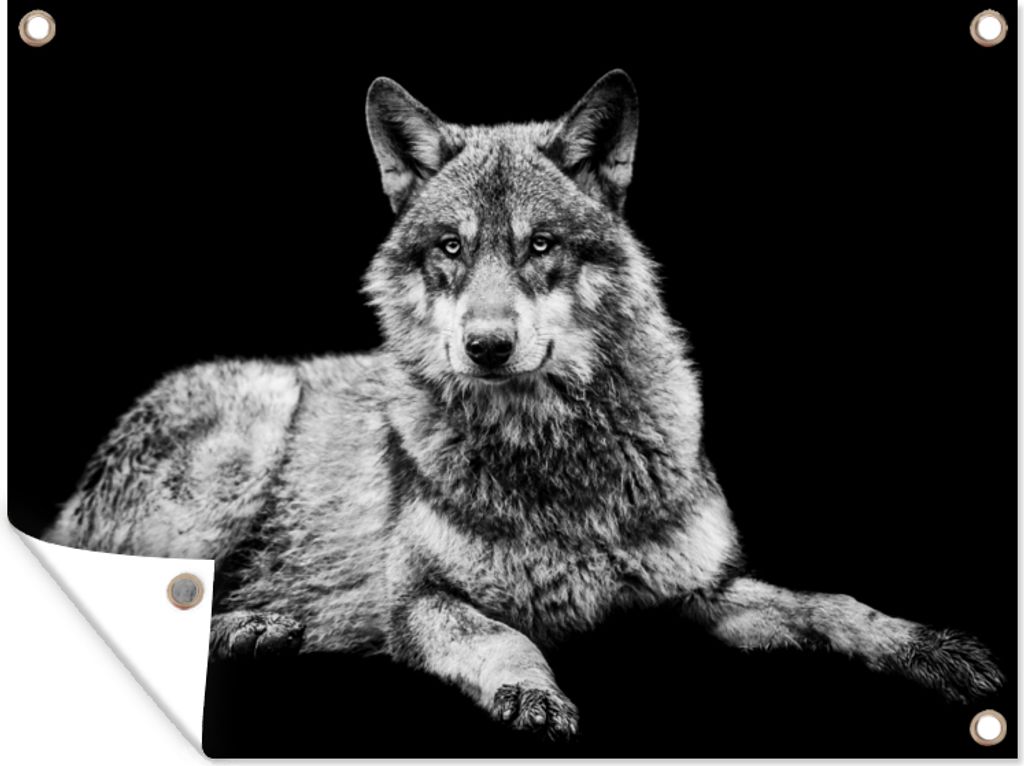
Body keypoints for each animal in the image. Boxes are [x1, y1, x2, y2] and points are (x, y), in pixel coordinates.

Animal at [46, 70, 1002, 739]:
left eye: (540, 246)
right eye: (450, 249)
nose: (488, 346)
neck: (556, 460)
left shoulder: (704, 592)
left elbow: (835, 605)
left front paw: (932, 649)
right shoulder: (421, 602)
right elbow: (509, 638)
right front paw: (532, 694)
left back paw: (266, 626)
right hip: (246, 439)